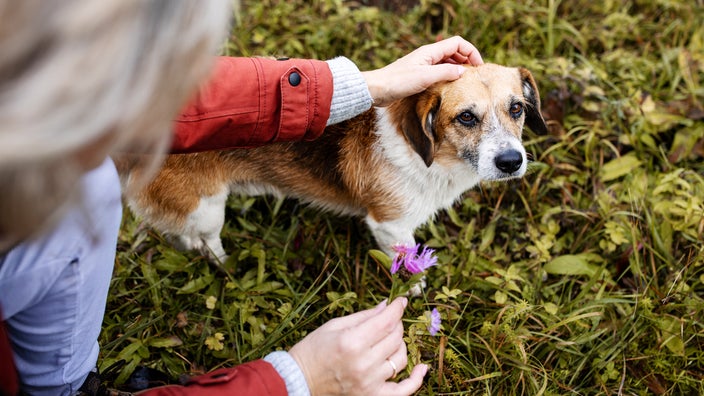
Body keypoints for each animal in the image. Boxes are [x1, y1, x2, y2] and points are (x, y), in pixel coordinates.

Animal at [118, 63, 552, 262]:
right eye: (465, 117)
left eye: (517, 108)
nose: (511, 162)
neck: (431, 158)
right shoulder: (389, 225)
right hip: (206, 210)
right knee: (203, 242)